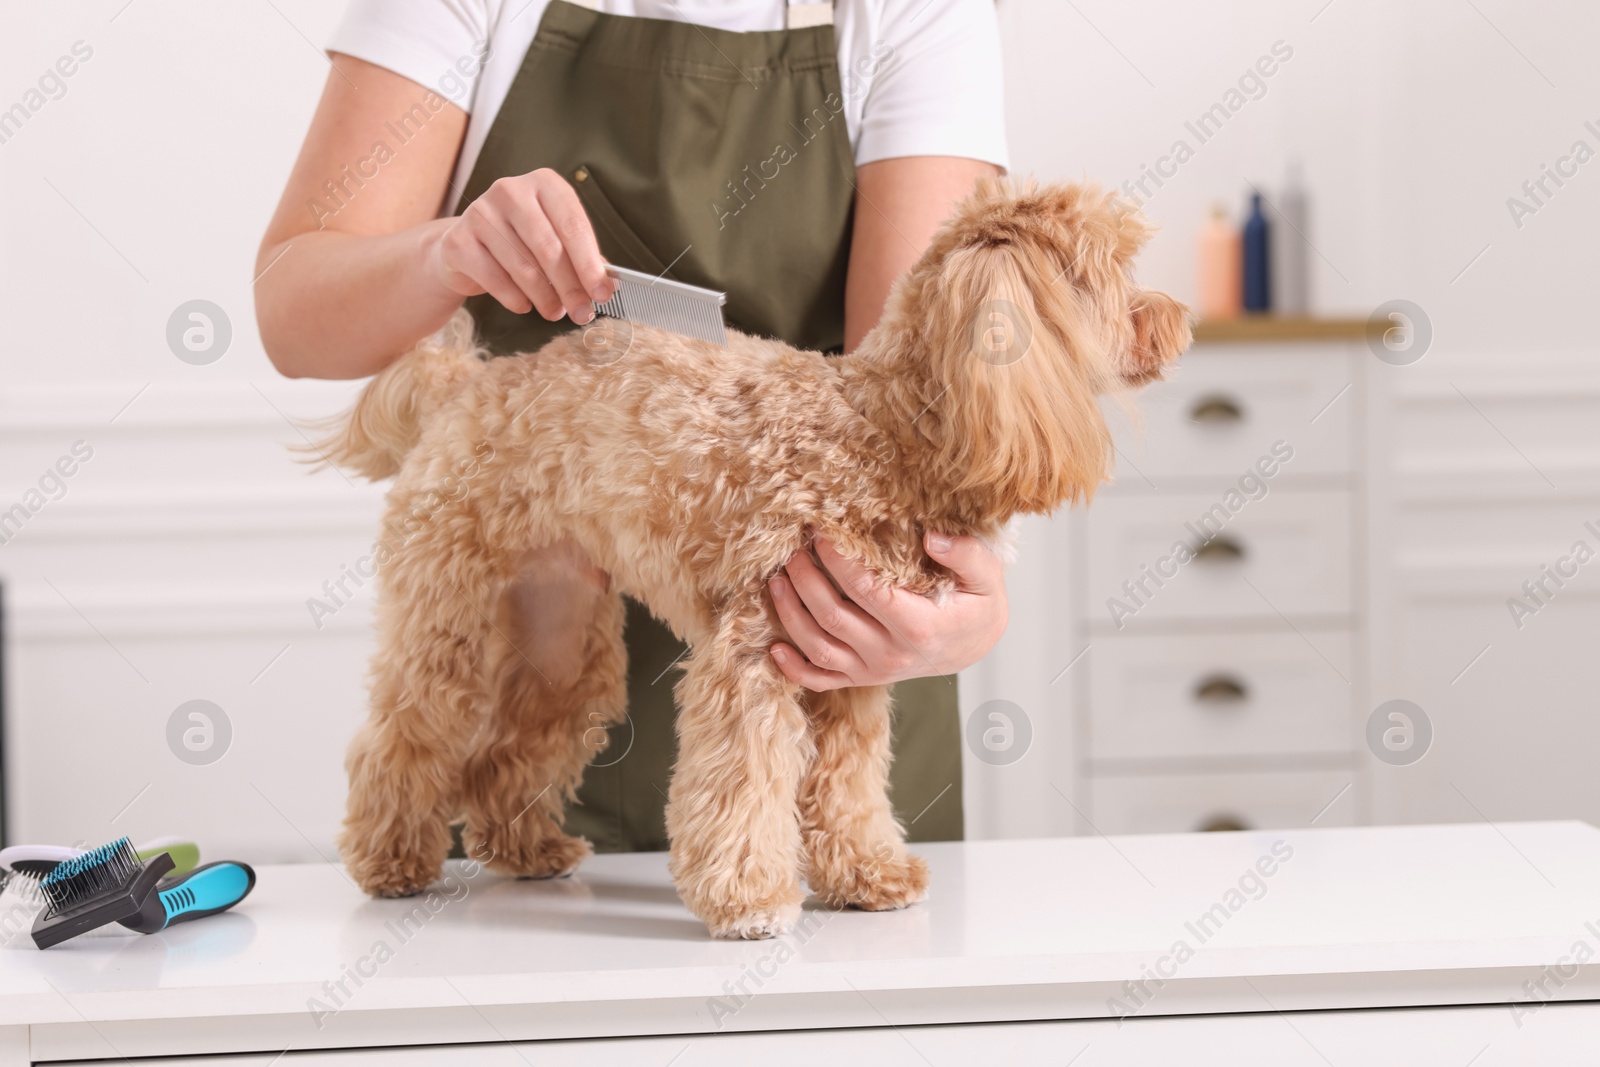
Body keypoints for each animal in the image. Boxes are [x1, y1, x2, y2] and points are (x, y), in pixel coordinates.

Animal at [321, 179, 1190, 940]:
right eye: (1110, 273)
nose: (1180, 319)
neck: (888, 428)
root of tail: (465, 384)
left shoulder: (848, 669)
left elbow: (848, 786)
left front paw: (869, 876)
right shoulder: (754, 655)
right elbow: (745, 783)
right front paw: (750, 901)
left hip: (556, 633)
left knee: (511, 745)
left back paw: (528, 849)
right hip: (449, 612)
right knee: (405, 733)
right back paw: (390, 860)